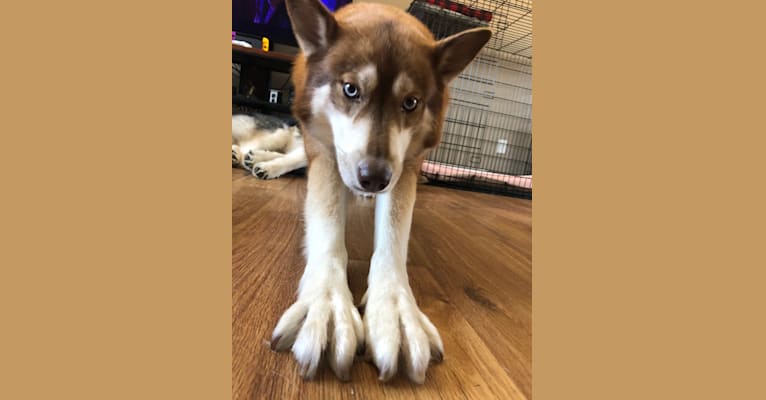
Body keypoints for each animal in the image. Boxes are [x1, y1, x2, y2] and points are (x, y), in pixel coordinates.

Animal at [268, 0, 488, 382]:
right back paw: (264, 162)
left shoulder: (405, 163)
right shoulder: (327, 150)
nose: (373, 178)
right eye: (351, 89)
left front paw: (395, 312)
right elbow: (328, 227)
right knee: (297, 152)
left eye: (411, 103)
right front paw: (328, 304)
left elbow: (393, 239)